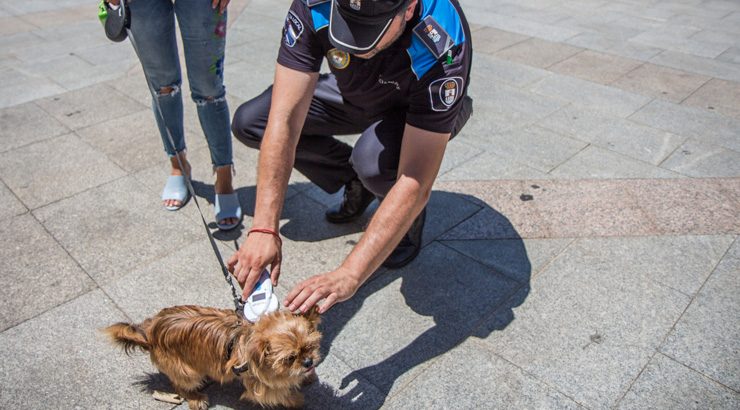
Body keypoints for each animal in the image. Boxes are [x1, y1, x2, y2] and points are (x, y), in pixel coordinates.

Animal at [104, 306, 320, 408]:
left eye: (310, 347)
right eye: (290, 358)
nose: (308, 362)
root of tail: (150, 332)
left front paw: (307, 377)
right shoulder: (261, 386)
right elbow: (279, 392)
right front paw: (296, 398)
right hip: (186, 370)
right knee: (180, 385)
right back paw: (195, 398)